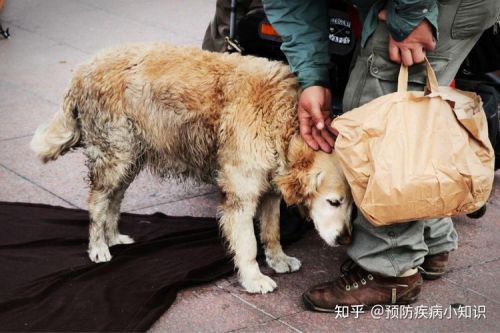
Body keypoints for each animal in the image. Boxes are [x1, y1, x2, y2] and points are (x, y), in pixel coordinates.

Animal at [31, 44, 352, 294]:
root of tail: (82, 68)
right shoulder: (241, 196)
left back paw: (113, 237)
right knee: (98, 202)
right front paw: (254, 278)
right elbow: (248, 243)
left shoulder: (270, 188)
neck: (282, 119)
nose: (345, 239)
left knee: (115, 199)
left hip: (130, 157)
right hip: (114, 154)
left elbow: (271, 230)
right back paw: (98, 246)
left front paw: (278, 259)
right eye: (333, 202)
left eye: (352, 207)